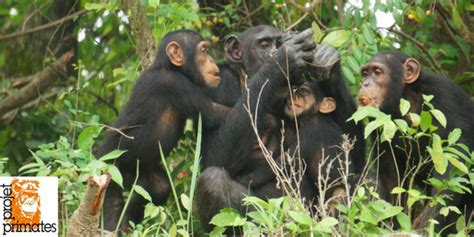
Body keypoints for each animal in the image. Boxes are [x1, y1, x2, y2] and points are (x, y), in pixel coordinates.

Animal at [98, 29, 228, 231]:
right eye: (204, 51)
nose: (212, 59)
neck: (170, 67)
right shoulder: (173, 84)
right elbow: (213, 113)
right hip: (109, 165)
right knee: (112, 202)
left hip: (139, 174)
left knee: (158, 189)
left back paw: (127, 223)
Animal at [360, 51, 474, 232]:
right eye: (364, 73)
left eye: (377, 72)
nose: (364, 83)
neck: (406, 96)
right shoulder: (377, 119)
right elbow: (392, 176)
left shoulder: (444, 96)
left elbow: (453, 159)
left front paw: (426, 222)